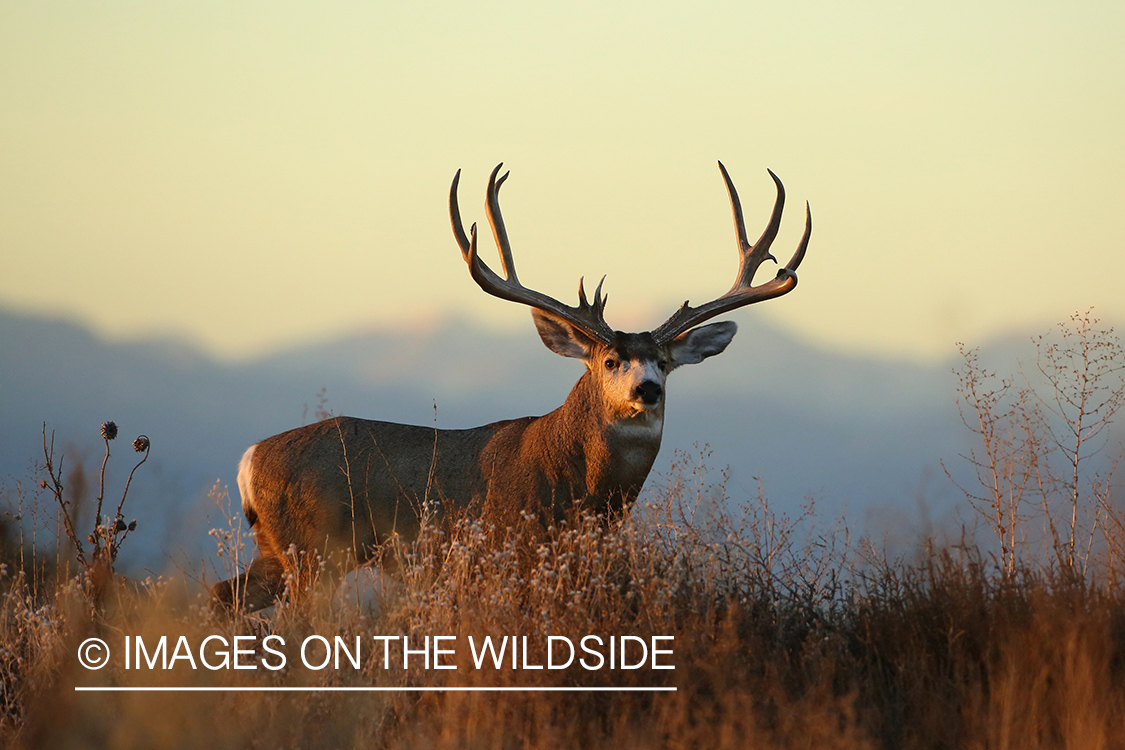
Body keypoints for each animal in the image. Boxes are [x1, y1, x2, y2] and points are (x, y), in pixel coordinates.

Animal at [211, 162, 811, 611]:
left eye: (664, 362)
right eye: (611, 359)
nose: (647, 390)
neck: (579, 486)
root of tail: (247, 459)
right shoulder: (507, 549)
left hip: (277, 552)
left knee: (222, 595)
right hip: (314, 548)